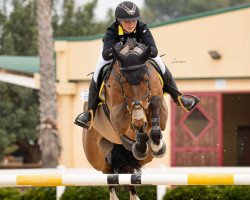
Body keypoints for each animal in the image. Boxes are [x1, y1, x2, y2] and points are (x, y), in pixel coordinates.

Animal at [82, 38, 168, 199]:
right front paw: (139, 128)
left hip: (145, 157)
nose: (137, 106)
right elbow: (130, 118)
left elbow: (155, 102)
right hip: (96, 157)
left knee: (128, 172)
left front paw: (156, 144)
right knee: (109, 173)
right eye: (122, 81)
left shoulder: (162, 112)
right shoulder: (118, 119)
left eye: (146, 78)